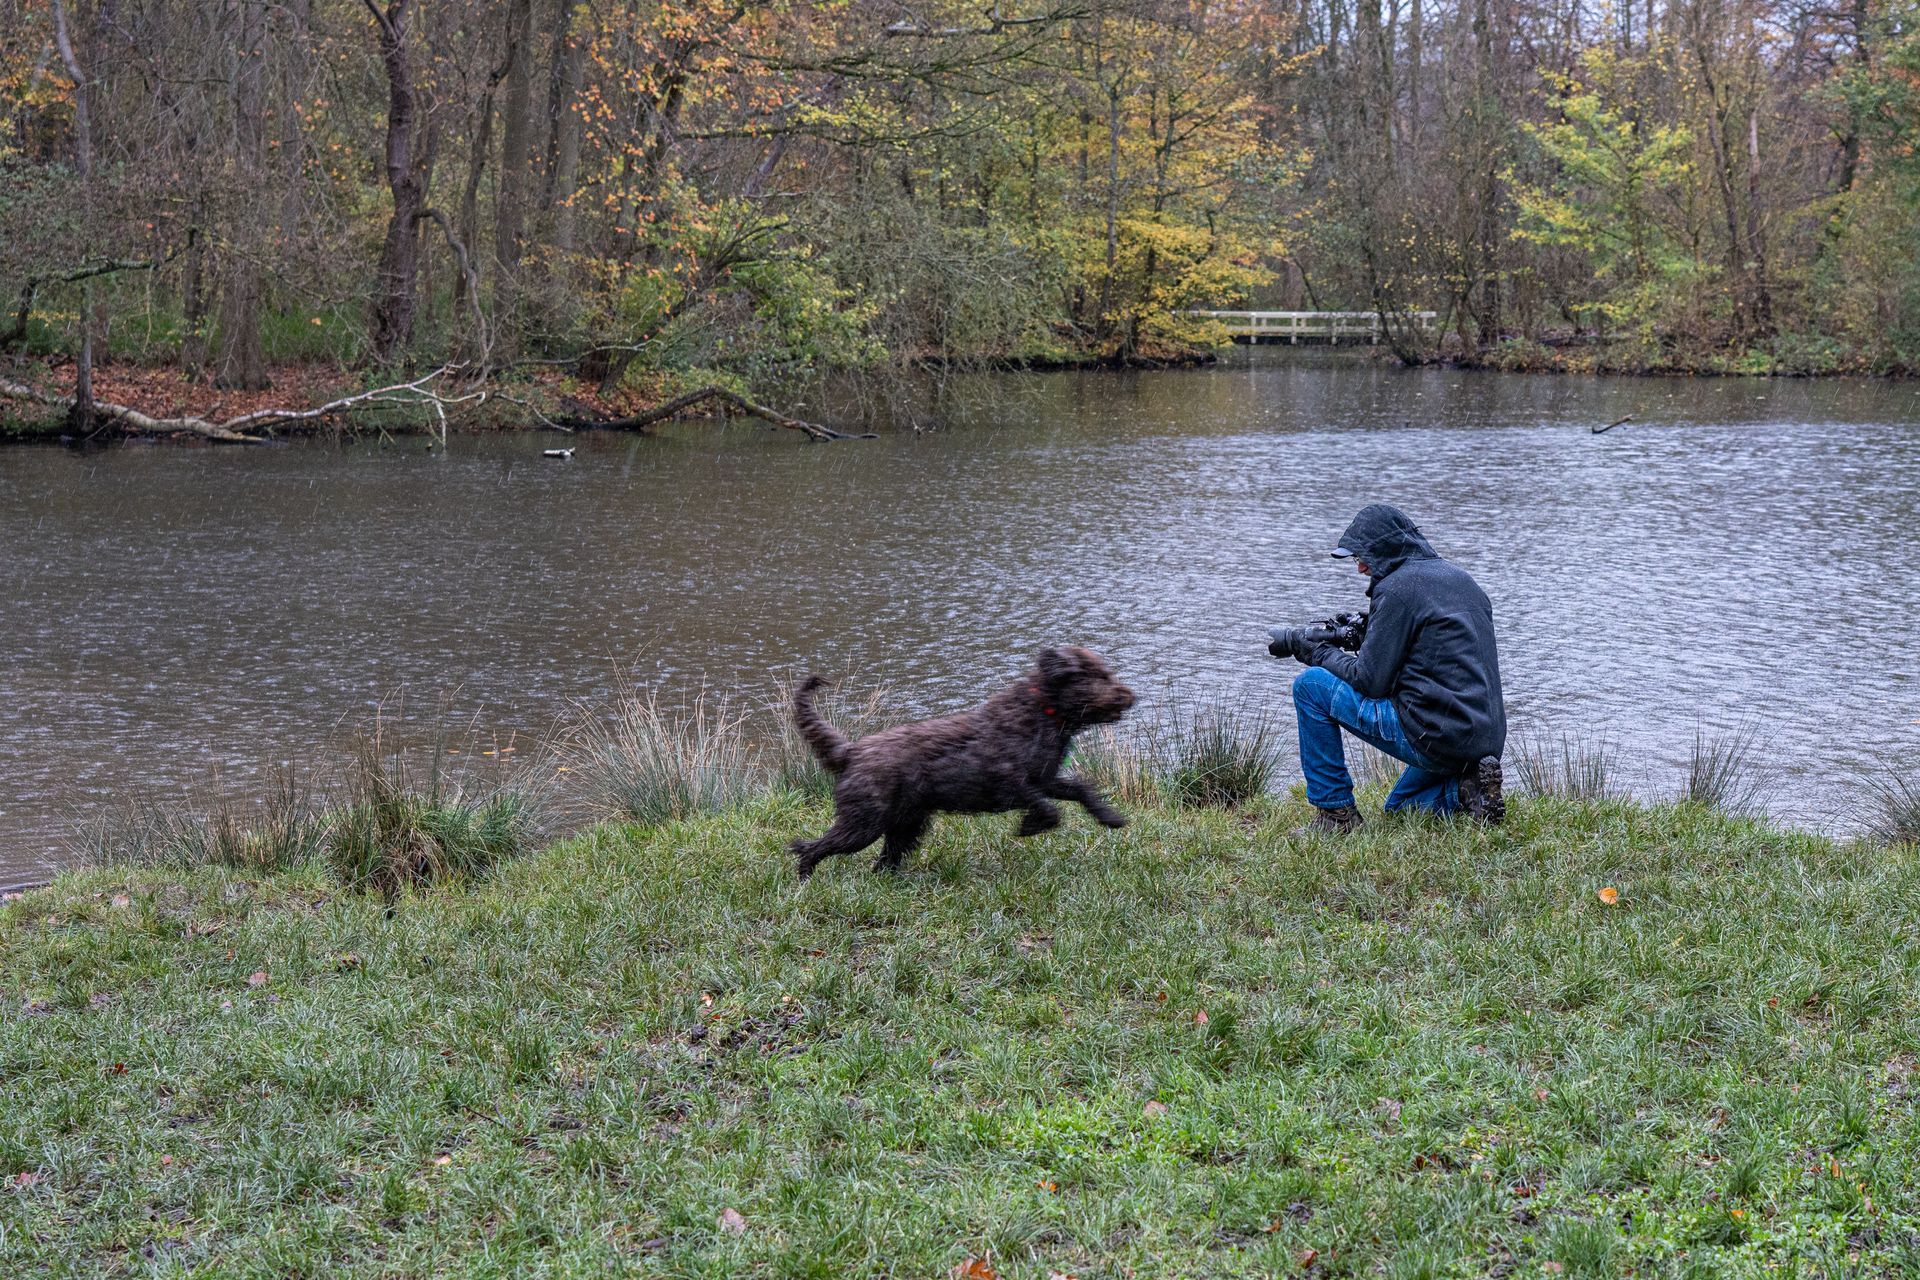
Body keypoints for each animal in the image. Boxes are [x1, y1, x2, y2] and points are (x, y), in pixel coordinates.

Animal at [789, 647, 1137, 877]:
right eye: (1097, 676)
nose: (1128, 696)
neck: (1041, 710)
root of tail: (850, 751)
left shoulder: (1045, 777)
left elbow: (1080, 789)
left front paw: (1110, 817)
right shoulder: (1006, 780)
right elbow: (1046, 806)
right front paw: (1030, 826)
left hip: (906, 823)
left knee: (886, 856)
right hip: (864, 822)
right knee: (814, 845)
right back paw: (805, 876)